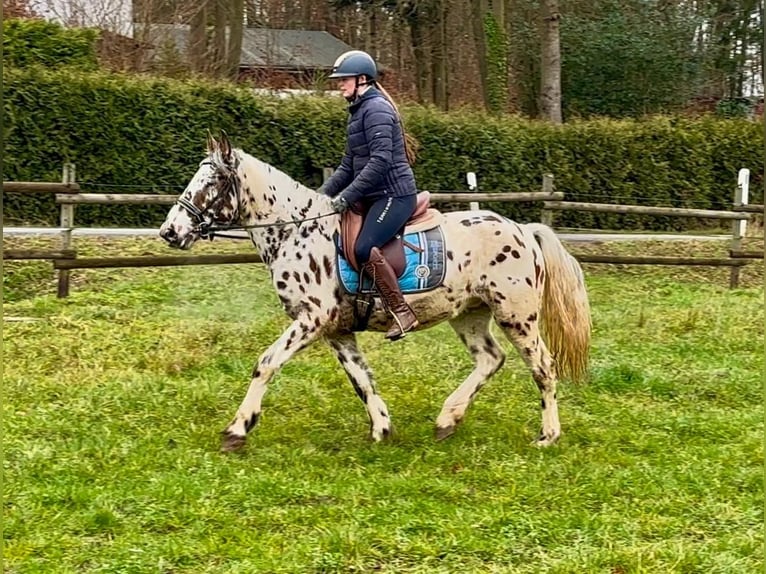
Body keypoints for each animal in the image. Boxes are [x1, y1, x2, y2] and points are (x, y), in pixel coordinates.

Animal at [160, 133, 592, 452]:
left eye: (212, 182)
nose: (170, 232)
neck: (296, 231)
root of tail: (523, 230)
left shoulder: (312, 318)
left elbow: (266, 363)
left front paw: (238, 428)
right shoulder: (335, 330)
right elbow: (361, 379)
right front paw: (382, 428)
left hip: (516, 315)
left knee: (543, 367)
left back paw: (547, 436)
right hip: (469, 313)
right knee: (490, 359)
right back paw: (447, 419)